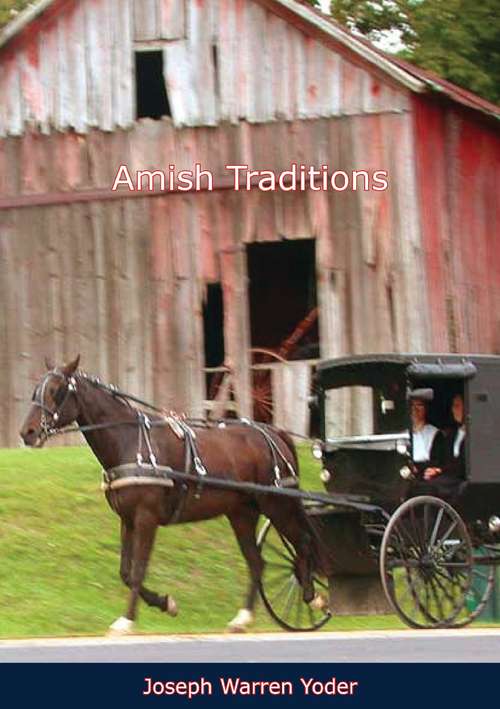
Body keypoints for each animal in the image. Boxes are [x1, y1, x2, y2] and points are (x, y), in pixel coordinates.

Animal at [19, 356, 318, 632]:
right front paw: (166, 604)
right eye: (36, 390)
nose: (27, 432)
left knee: (303, 543)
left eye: (56, 390)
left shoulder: (146, 518)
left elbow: (138, 571)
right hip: (242, 514)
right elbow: (125, 572)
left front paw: (127, 621)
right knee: (258, 562)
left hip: (277, 505)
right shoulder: (127, 520)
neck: (130, 441)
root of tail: (274, 433)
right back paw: (242, 618)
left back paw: (312, 596)